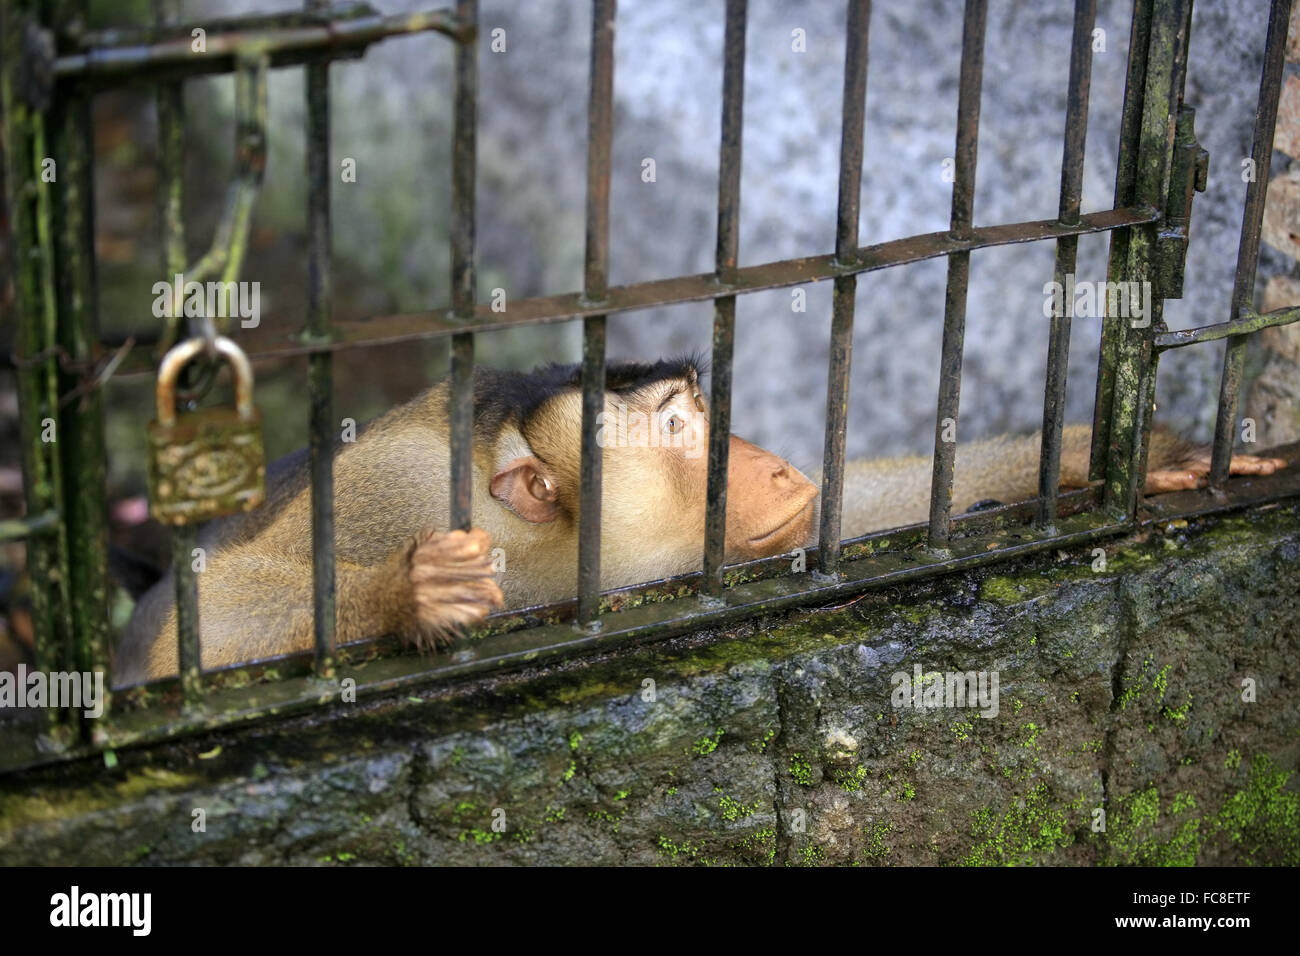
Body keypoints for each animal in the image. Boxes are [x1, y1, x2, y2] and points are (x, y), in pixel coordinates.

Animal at [114, 358, 1289, 686]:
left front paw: (1111, 457)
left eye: (702, 411)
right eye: (679, 429)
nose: (765, 461)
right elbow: (196, 629)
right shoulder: (401, 486)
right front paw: (412, 594)